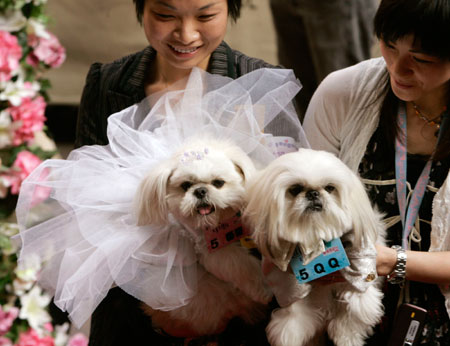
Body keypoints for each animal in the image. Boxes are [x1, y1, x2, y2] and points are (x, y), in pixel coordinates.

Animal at [134, 137, 272, 336]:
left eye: (218, 183)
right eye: (185, 186)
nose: (200, 191)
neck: (223, 224)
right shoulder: (213, 251)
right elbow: (242, 267)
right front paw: (264, 289)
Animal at [244, 148, 384, 346]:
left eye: (329, 188)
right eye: (295, 189)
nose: (313, 193)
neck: (315, 234)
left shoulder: (360, 267)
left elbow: (355, 309)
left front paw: (346, 338)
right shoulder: (287, 280)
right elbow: (293, 311)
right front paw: (290, 335)